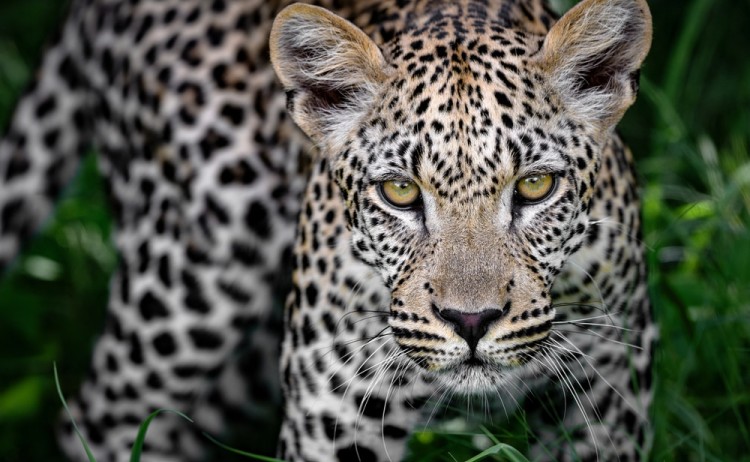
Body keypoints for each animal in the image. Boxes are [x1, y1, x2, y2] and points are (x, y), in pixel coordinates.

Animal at [0, 0, 655, 461]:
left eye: (536, 186)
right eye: (400, 192)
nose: (471, 322)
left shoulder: (608, 396)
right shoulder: (333, 416)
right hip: (192, 282)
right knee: (102, 416)